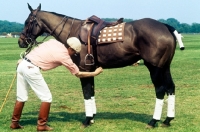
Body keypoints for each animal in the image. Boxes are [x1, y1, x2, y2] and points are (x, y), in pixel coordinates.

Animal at [18, 3, 178, 128]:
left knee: (160, 90)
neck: (73, 33)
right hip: (165, 67)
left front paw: (87, 120)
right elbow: (92, 92)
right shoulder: (90, 70)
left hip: (154, 67)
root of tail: (165, 27)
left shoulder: (83, 69)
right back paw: (168, 120)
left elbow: (87, 93)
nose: (21, 41)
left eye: (27, 22)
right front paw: (92, 117)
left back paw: (153, 121)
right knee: (170, 87)